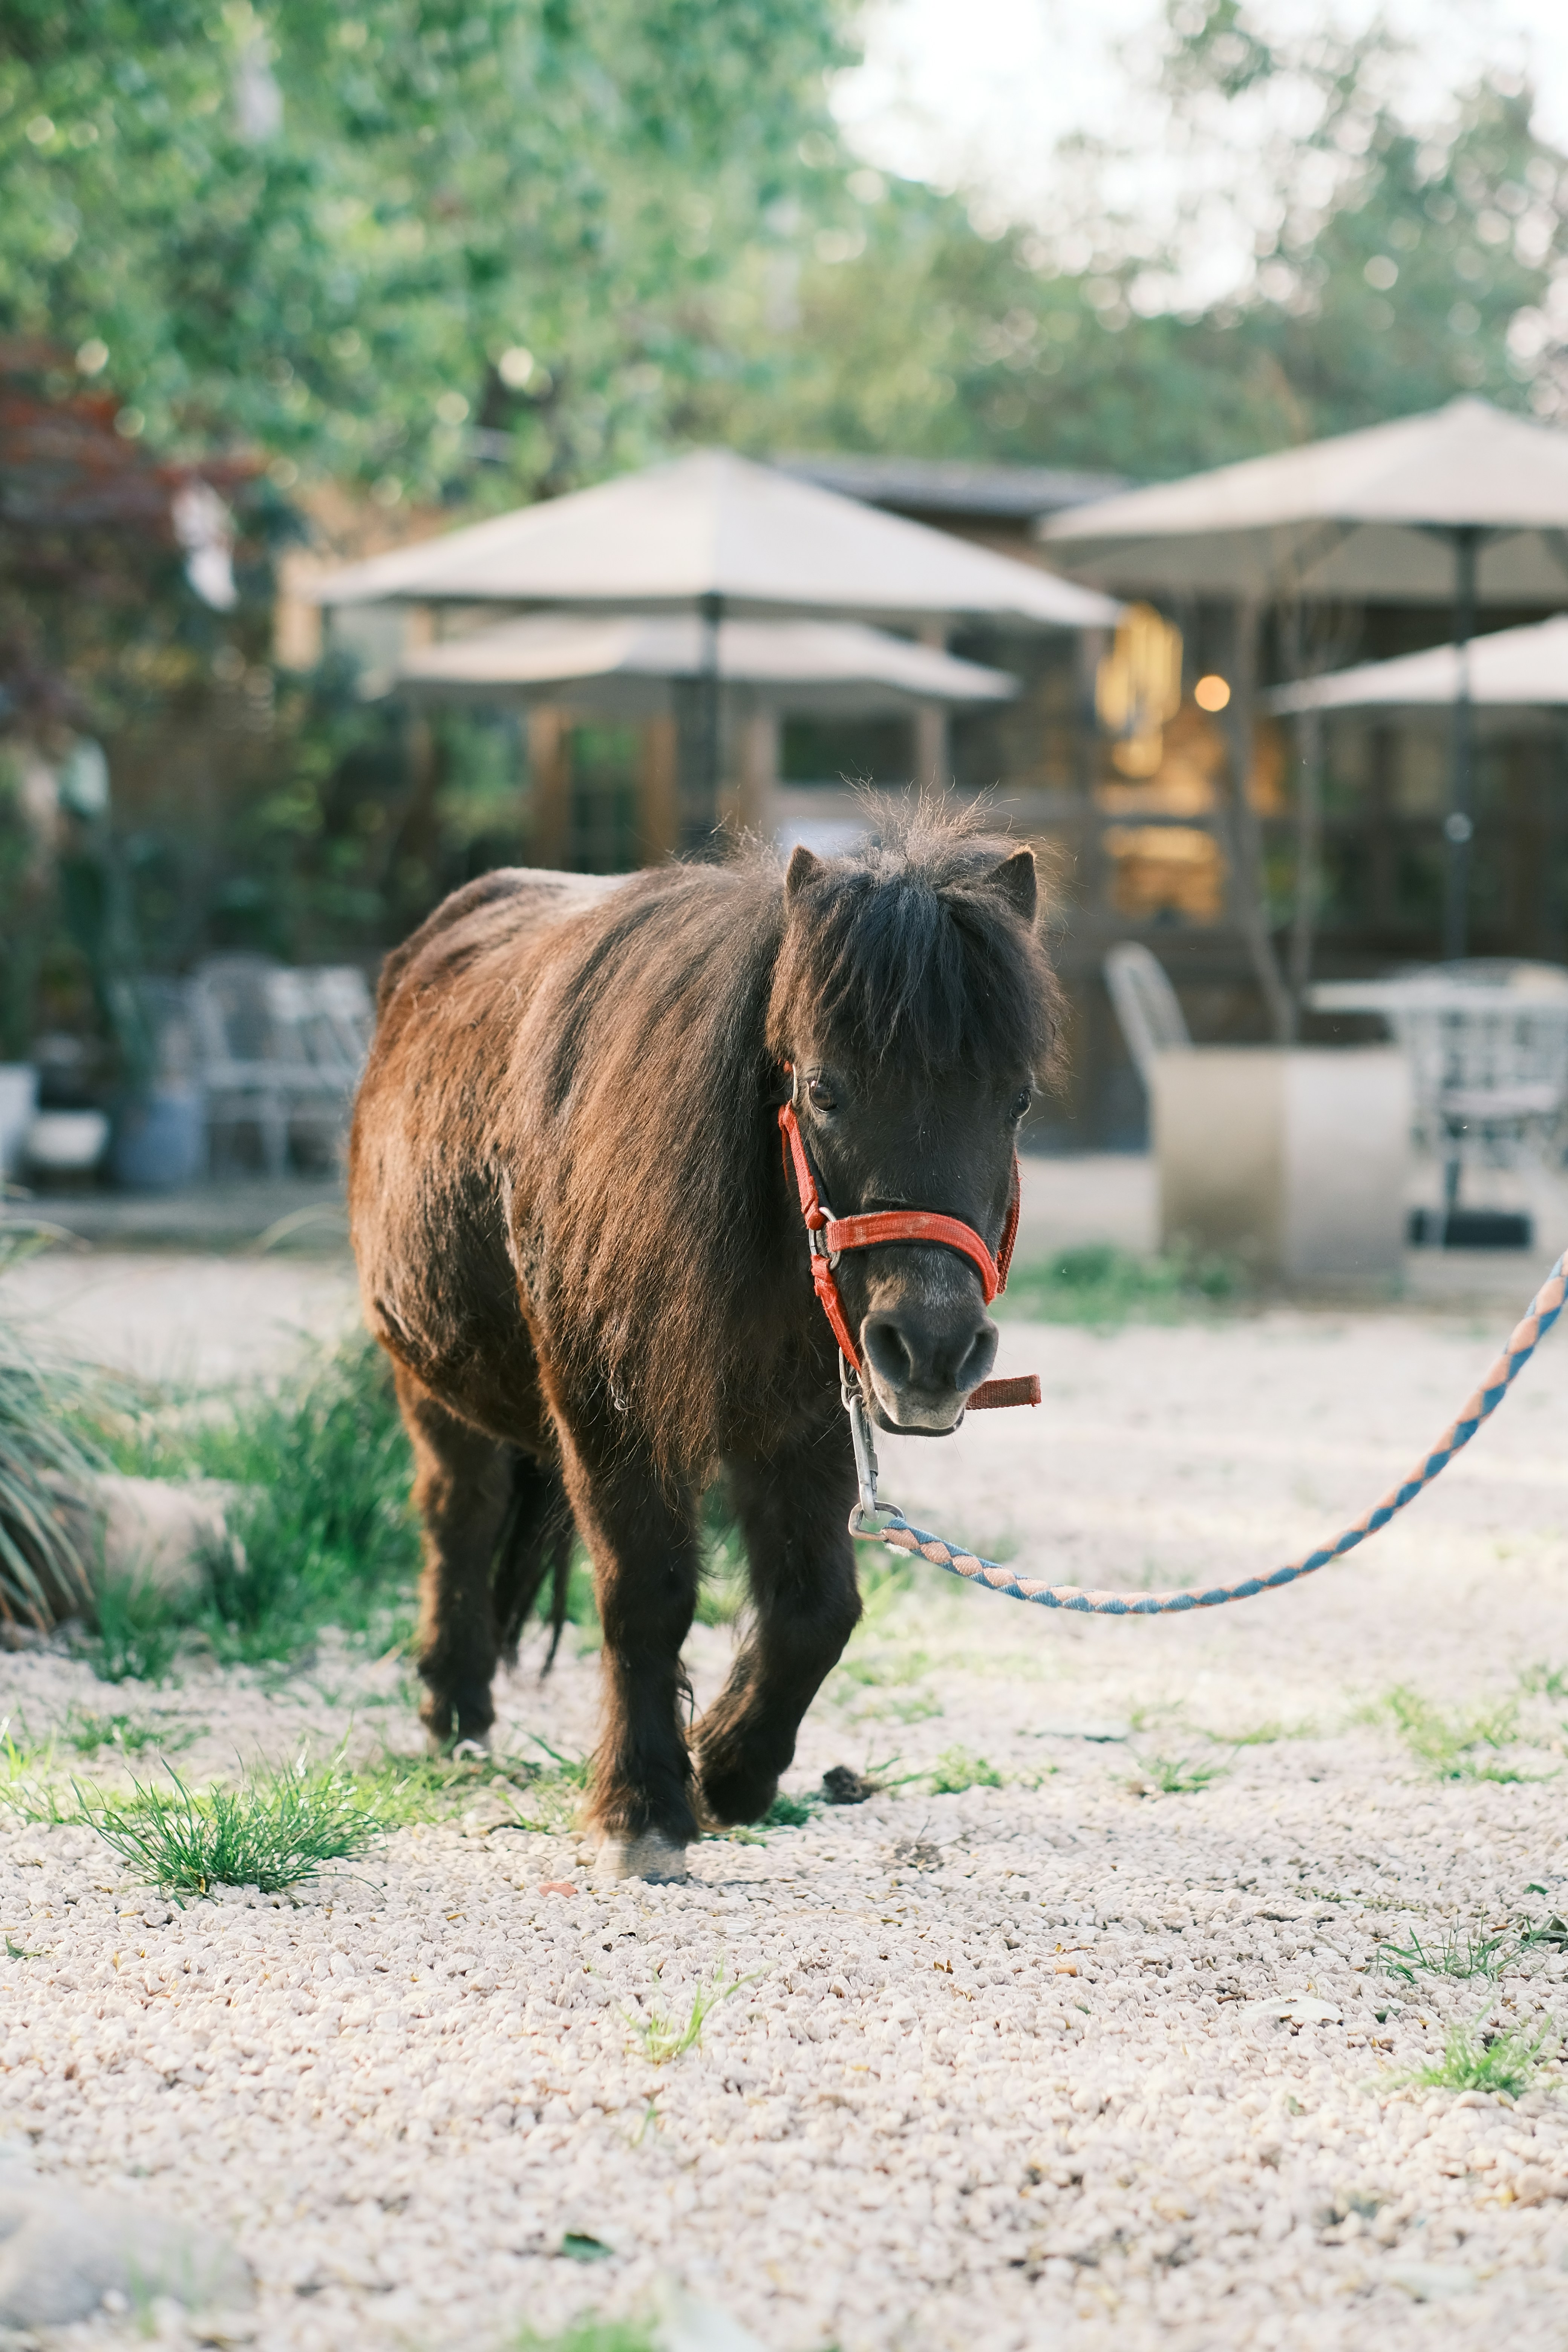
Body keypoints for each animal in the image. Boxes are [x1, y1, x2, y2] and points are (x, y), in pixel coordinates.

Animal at [348, 805, 1059, 1881]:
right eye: (825, 1090)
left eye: (1014, 1099)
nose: (934, 1350)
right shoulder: (608, 1407)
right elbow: (646, 1593)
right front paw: (643, 1806)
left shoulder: (807, 1424)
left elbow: (817, 1610)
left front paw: (728, 1767)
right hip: (428, 1377)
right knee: (456, 1515)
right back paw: (454, 1707)